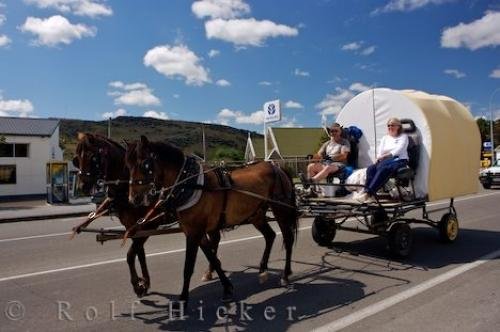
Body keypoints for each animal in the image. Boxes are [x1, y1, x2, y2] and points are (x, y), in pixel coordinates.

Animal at [126, 136, 296, 308]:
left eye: (145, 164)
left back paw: (285, 274)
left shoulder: (194, 232)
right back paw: (262, 270)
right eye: (128, 165)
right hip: (257, 215)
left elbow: (188, 267)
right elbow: (213, 259)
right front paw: (227, 288)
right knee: (270, 235)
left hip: (280, 210)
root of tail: (277, 168)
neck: (190, 184)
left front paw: (183, 299)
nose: (133, 199)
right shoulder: (195, 231)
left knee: (288, 238)